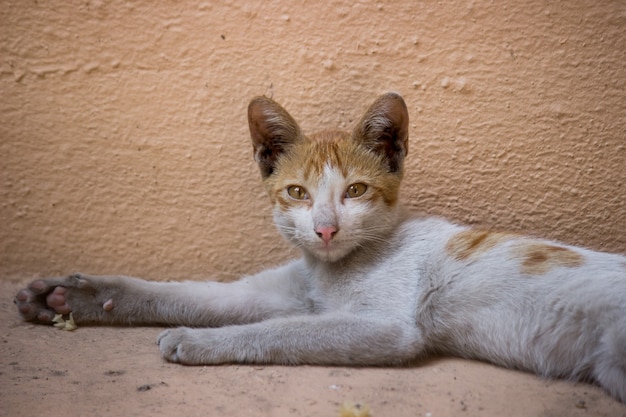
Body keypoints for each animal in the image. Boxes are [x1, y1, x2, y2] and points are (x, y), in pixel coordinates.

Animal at [13, 92, 624, 402]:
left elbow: (280, 331)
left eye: (355, 191)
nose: (326, 229)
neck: (331, 271)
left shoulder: (387, 327)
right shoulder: (283, 288)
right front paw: (67, 297)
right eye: (297, 193)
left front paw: (197, 341)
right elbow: (186, 294)